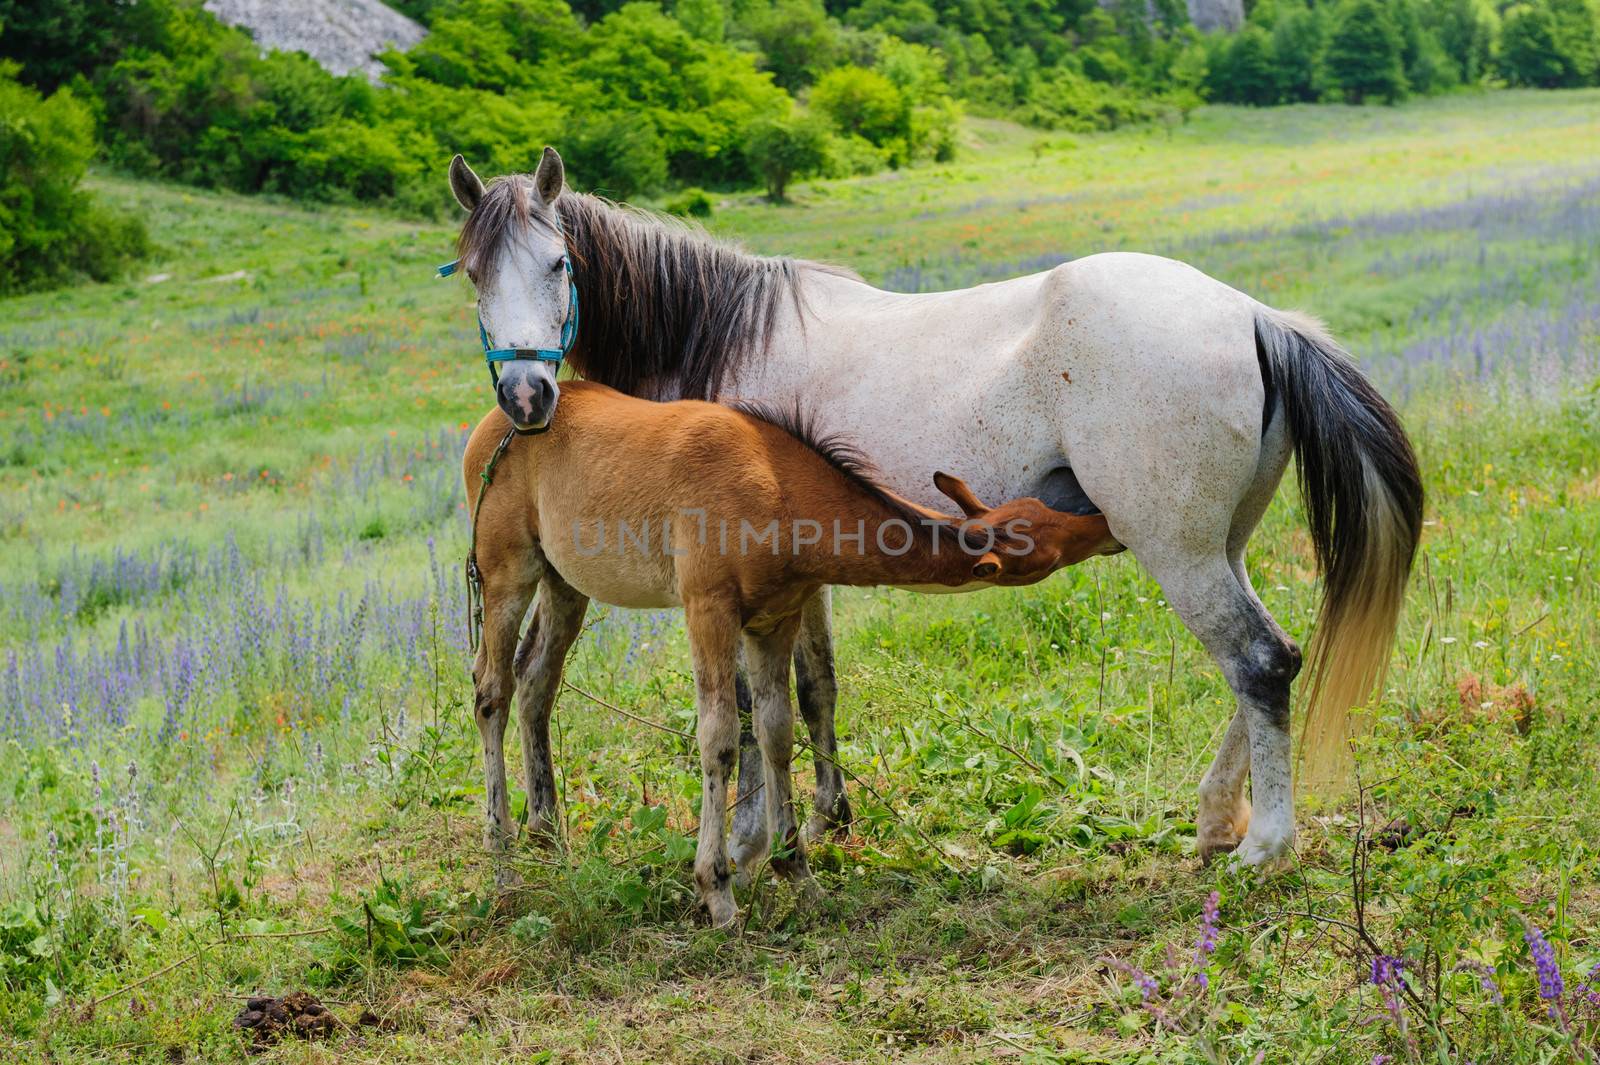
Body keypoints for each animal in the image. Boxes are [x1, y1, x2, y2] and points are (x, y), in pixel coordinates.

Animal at [464, 378, 1113, 921]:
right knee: (491, 691)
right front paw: (718, 890)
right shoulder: (708, 608)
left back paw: (549, 841)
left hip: (565, 582)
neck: (776, 491)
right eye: (1049, 546)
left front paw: (797, 873)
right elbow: (721, 737)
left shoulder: (774, 620)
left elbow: (777, 730)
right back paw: (504, 865)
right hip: (506, 572)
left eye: (1042, 513)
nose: (1104, 521)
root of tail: (488, 429)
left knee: (537, 682)